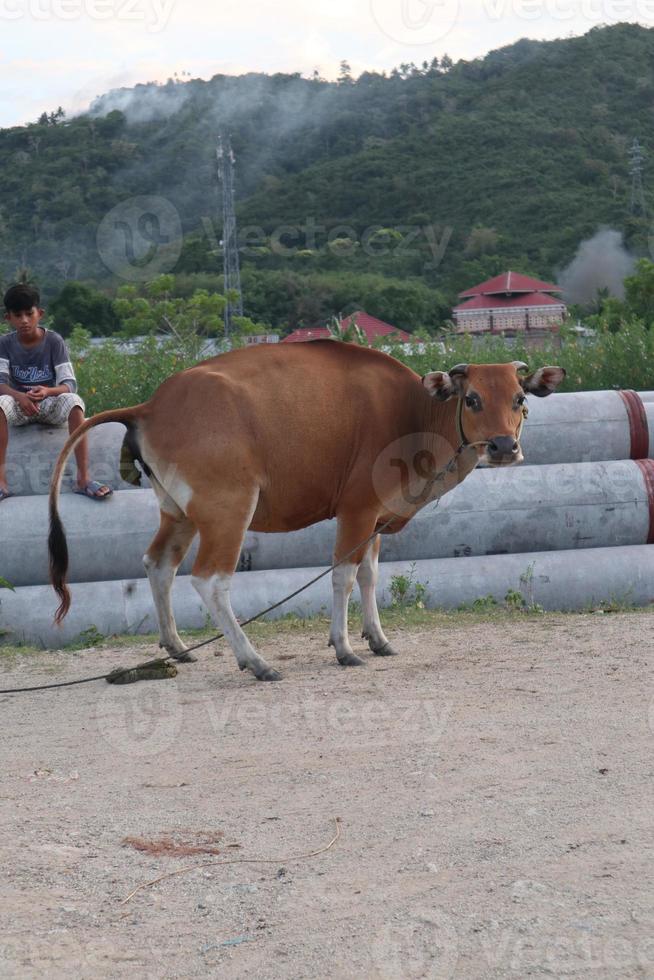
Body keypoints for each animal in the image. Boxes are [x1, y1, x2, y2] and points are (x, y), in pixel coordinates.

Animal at [48, 344, 568, 680]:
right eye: (472, 398)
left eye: (519, 398)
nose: (504, 447)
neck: (412, 414)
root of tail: (151, 405)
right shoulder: (356, 511)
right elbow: (342, 575)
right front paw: (343, 648)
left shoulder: (375, 519)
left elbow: (369, 576)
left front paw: (377, 638)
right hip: (227, 511)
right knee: (210, 579)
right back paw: (255, 661)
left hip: (179, 513)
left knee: (158, 565)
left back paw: (176, 647)